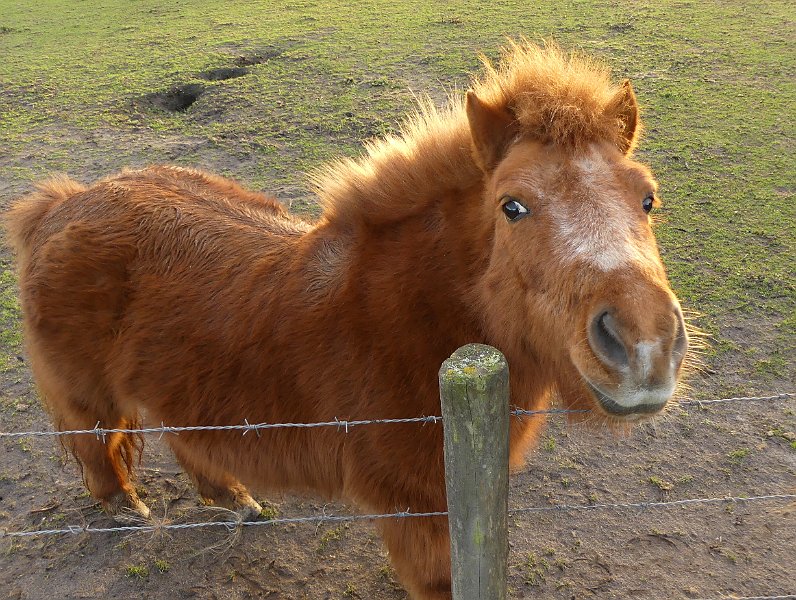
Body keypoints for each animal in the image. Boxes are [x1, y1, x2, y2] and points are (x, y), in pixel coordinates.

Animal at [6, 41, 688, 596]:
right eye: (511, 206)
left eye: (647, 199)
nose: (644, 344)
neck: (411, 317)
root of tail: (62, 204)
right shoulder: (418, 510)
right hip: (89, 398)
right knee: (98, 450)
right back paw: (128, 511)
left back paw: (236, 501)